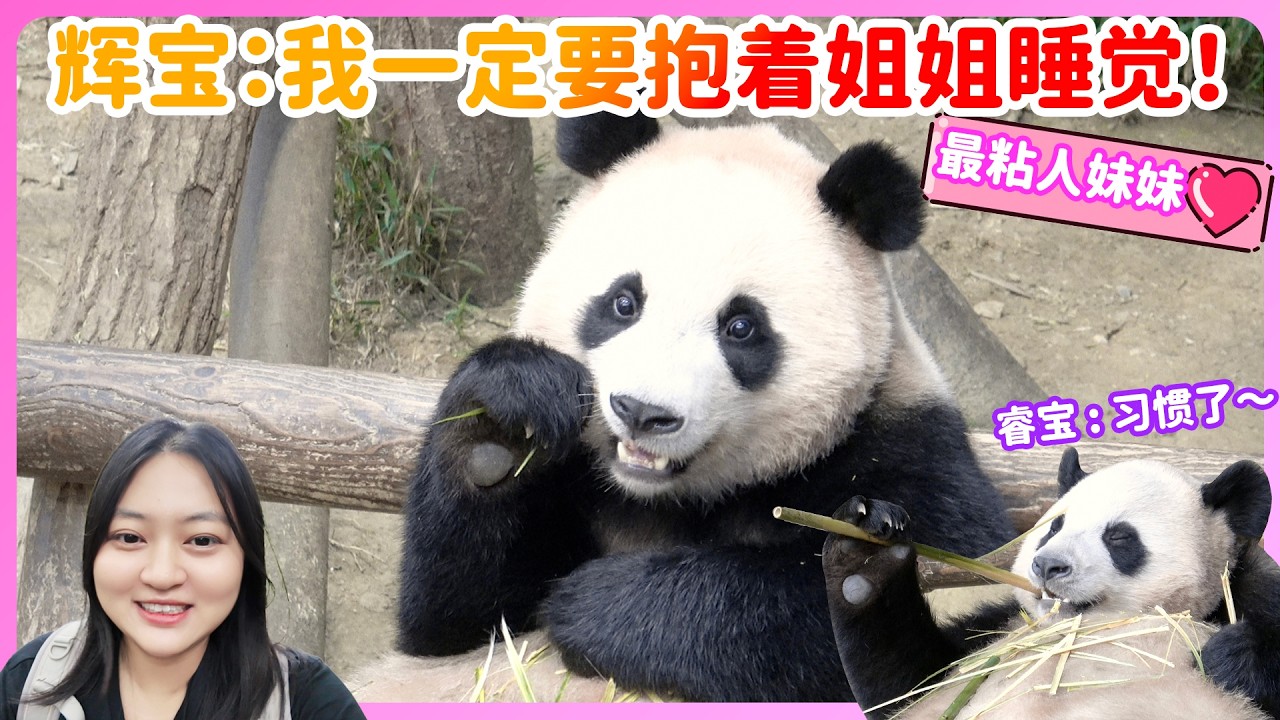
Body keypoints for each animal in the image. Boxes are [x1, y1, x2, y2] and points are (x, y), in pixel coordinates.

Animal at [396, 112, 1017, 702]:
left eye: (740, 327)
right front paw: (503, 425)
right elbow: (458, 627)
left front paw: (601, 606)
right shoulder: (576, 483)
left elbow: (958, 582)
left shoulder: (903, 449)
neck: (668, 497)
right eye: (623, 302)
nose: (642, 411)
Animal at [823, 448, 1280, 719]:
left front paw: (1231, 655)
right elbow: (908, 687)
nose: (1047, 566)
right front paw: (864, 551)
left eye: (1119, 537)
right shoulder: (1002, 629)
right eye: (1053, 527)